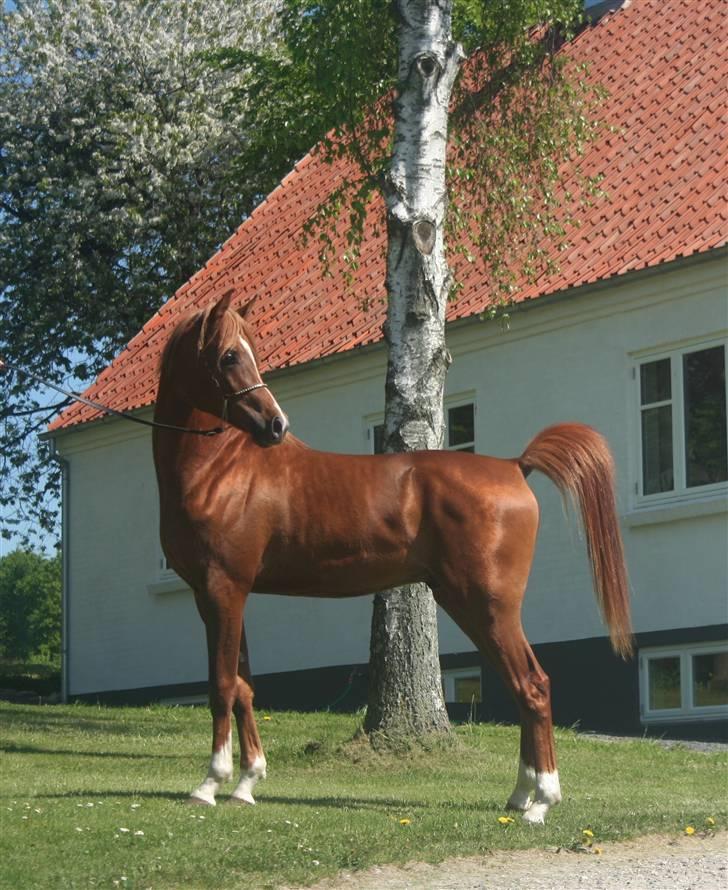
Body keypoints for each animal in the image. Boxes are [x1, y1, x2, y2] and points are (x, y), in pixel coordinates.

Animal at [154, 294, 632, 824]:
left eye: (243, 354)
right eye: (229, 356)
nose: (276, 426)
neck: (223, 471)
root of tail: (514, 466)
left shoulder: (223, 589)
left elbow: (221, 685)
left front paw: (210, 783)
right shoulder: (226, 595)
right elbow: (243, 688)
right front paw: (246, 782)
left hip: (487, 606)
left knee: (532, 685)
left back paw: (541, 801)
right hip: (473, 606)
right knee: (521, 687)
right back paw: (520, 795)